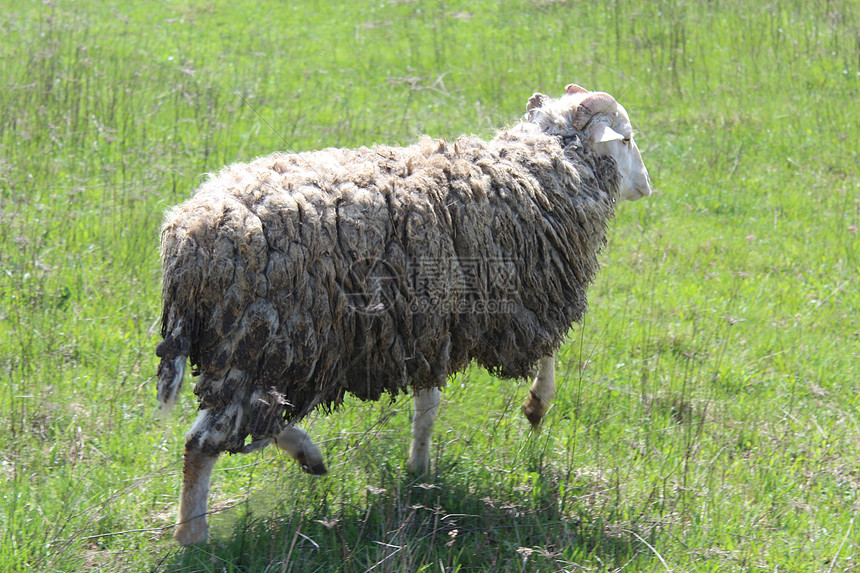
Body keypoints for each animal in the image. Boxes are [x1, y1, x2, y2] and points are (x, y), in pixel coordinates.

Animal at [156, 82, 652, 544]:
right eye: (626, 139)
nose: (648, 187)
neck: (538, 170)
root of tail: (188, 237)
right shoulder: (526, 299)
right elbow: (547, 354)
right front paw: (536, 405)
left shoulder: (429, 324)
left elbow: (427, 405)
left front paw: (419, 469)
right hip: (265, 340)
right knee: (206, 440)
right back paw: (193, 534)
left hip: (264, 350)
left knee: (252, 418)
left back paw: (305, 456)